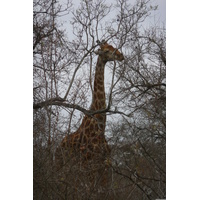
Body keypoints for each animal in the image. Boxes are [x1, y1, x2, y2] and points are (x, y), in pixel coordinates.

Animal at [55, 40, 123, 195]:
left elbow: (103, 191)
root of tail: (58, 146)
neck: (100, 126)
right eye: (106, 51)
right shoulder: (89, 164)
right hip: (65, 167)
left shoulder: (104, 164)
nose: (120, 55)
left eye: (112, 46)